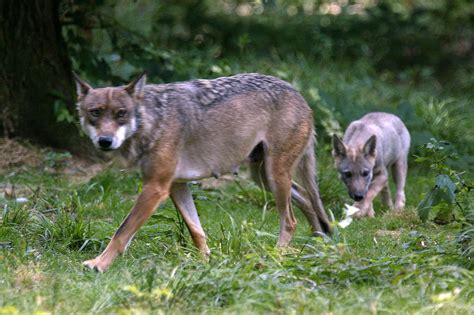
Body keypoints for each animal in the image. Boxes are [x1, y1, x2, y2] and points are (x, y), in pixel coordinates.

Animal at [75, 71, 330, 272]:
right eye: (95, 112)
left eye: (121, 113)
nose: (105, 141)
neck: (153, 119)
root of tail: (299, 95)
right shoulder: (176, 185)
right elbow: (196, 231)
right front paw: (205, 263)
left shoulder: (156, 188)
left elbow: (122, 231)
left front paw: (99, 264)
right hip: (264, 178)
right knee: (307, 200)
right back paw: (320, 245)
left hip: (274, 177)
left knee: (290, 220)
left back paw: (277, 256)